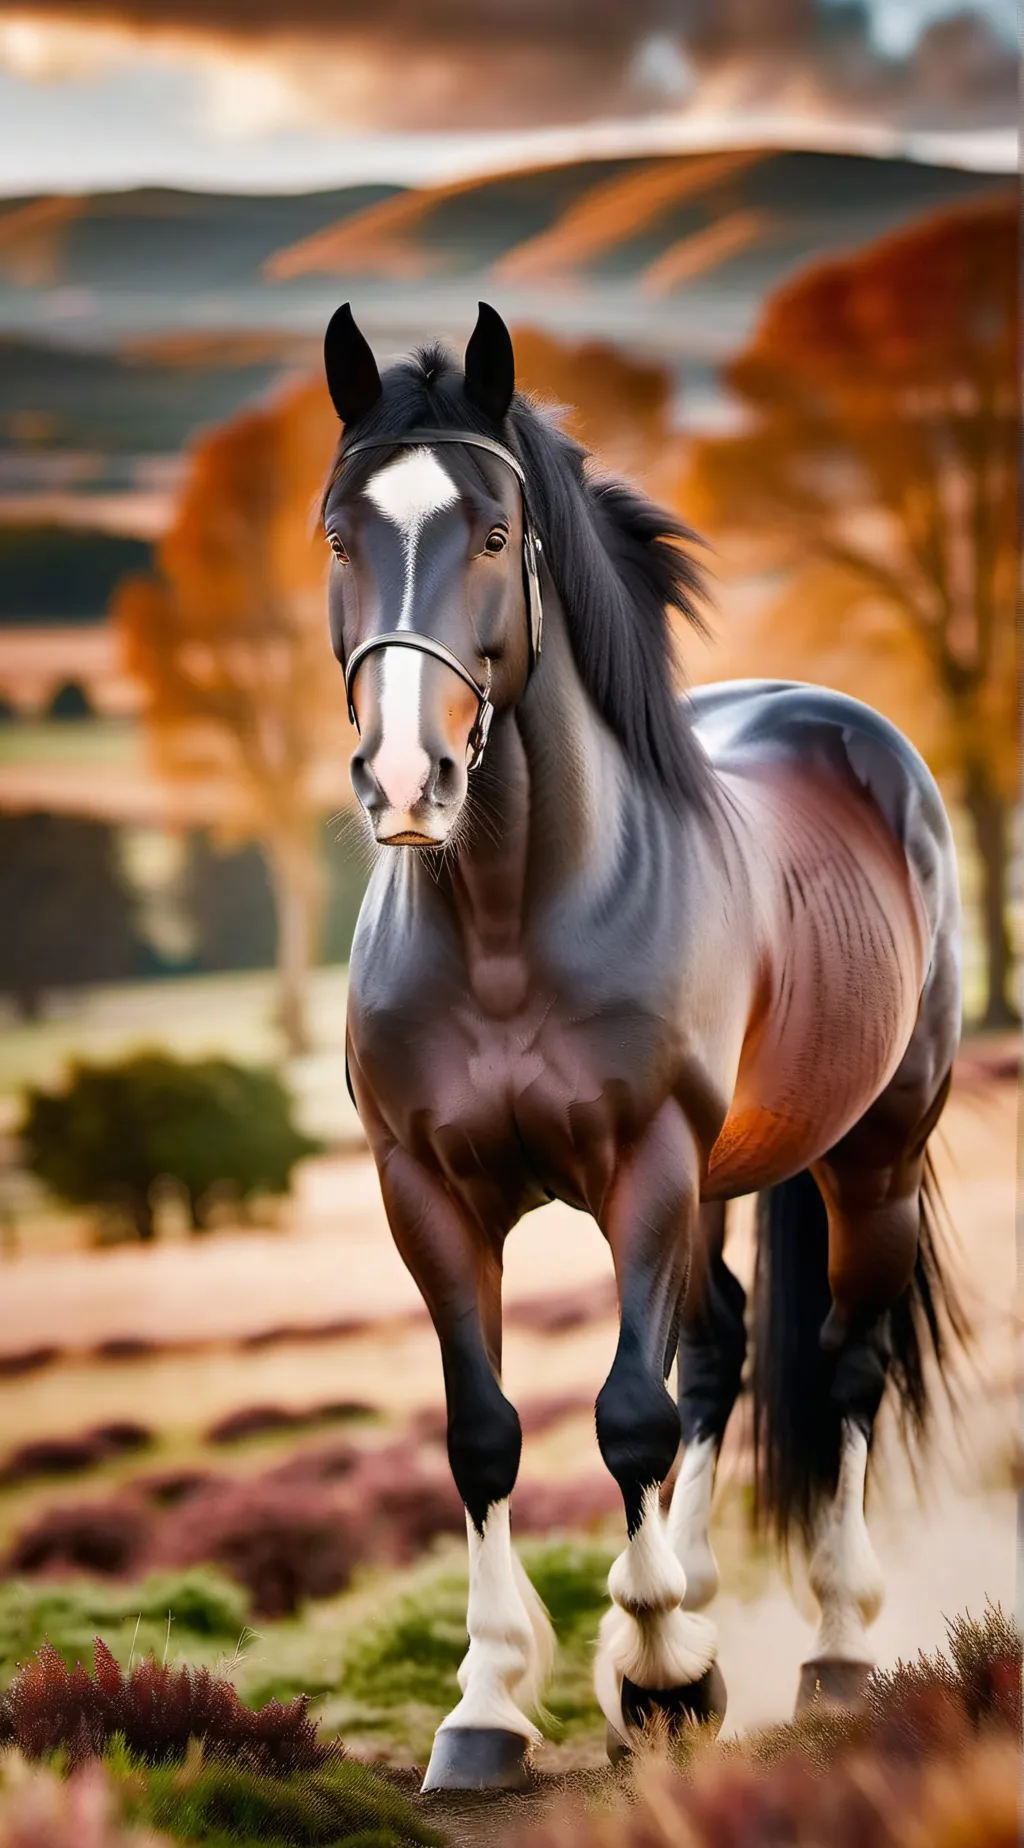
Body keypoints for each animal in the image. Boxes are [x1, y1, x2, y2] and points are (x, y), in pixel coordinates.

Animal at [319, 302, 965, 1792]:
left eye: (493, 534)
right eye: (338, 537)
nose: (405, 782)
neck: (509, 918)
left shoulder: (646, 1170)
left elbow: (628, 1413)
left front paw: (667, 1678)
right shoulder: (425, 1191)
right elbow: (486, 1431)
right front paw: (492, 1705)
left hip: (872, 1156)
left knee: (840, 1366)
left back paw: (831, 1646)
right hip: (728, 1180)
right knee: (723, 1351)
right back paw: (690, 1597)